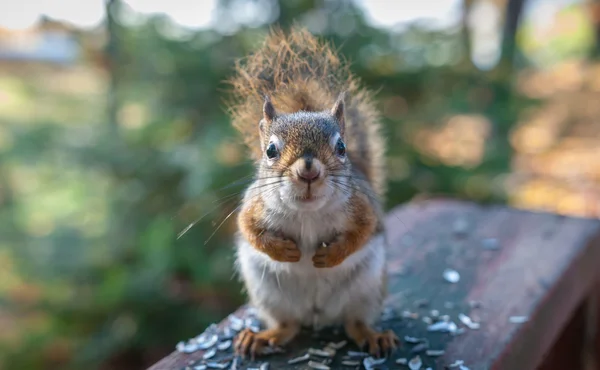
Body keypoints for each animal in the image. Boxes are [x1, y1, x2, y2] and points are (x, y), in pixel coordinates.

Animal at [225, 28, 398, 358]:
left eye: (341, 147)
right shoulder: (253, 205)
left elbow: (364, 229)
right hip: (269, 293)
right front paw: (284, 251)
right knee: (288, 325)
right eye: (270, 150)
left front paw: (331, 255)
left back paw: (372, 335)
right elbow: (248, 228)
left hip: (367, 289)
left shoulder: (362, 205)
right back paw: (263, 336)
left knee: (354, 322)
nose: (308, 170)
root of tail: (318, 315)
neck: (307, 212)